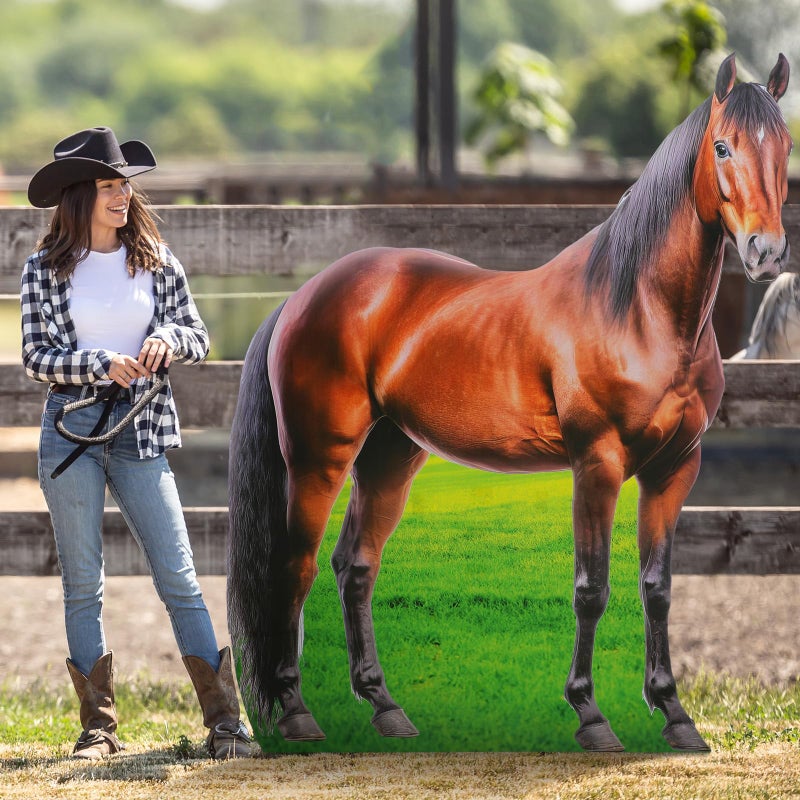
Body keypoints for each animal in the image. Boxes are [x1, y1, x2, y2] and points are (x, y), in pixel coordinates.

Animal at [227, 53, 792, 753]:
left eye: (785, 147)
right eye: (722, 146)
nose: (766, 252)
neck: (637, 310)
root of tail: (302, 296)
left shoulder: (673, 470)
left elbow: (656, 587)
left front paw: (675, 715)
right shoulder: (597, 464)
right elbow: (592, 587)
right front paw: (591, 715)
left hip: (389, 458)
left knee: (354, 566)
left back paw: (386, 708)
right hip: (318, 458)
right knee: (295, 566)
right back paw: (297, 712)